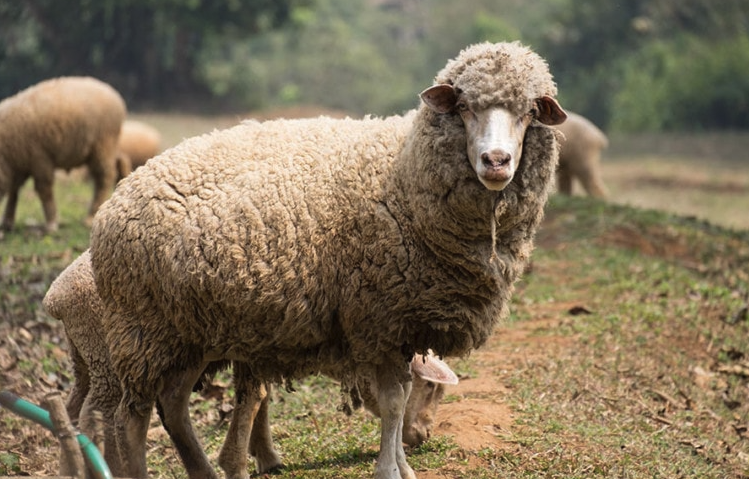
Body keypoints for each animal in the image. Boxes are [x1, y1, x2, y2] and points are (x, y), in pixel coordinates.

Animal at [0, 76, 127, 235]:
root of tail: (113, 93)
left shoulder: (39, 158)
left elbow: (44, 190)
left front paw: (51, 224)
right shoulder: (20, 164)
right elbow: (14, 191)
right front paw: (7, 222)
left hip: (103, 145)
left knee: (103, 178)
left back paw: (90, 216)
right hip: (106, 148)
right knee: (118, 165)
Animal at [45, 249, 456, 478]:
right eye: (429, 387)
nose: (423, 436)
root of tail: (55, 297)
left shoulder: (257, 349)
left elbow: (260, 398)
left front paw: (263, 455)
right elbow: (255, 397)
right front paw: (240, 462)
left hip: (86, 358)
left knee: (71, 410)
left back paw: (71, 470)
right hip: (115, 356)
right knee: (97, 414)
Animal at [89, 41, 568, 479]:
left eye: (529, 112)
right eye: (465, 106)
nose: (496, 161)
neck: (403, 175)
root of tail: (114, 203)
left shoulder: (402, 322)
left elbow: (399, 398)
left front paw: (403, 466)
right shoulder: (379, 316)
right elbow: (393, 402)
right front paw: (389, 470)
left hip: (187, 330)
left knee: (172, 404)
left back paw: (204, 471)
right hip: (143, 329)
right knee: (132, 418)